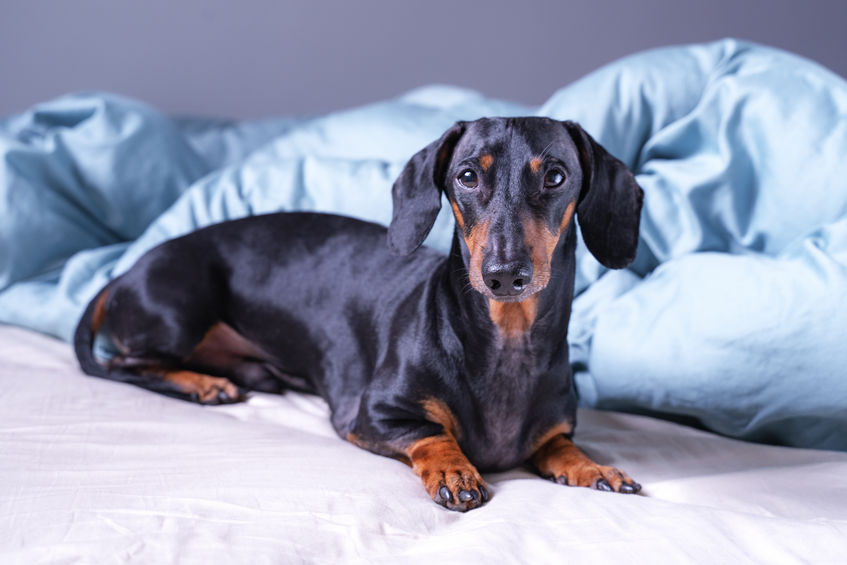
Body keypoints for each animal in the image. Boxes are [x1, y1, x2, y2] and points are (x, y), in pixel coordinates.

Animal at [74, 117, 644, 508]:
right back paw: (204, 385)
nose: (505, 275)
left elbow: (559, 447)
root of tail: (124, 271)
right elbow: (433, 434)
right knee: (127, 365)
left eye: (555, 176)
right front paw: (455, 471)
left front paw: (593, 467)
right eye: (465, 176)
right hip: (177, 312)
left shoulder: (554, 429)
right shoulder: (373, 415)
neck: (506, 340)